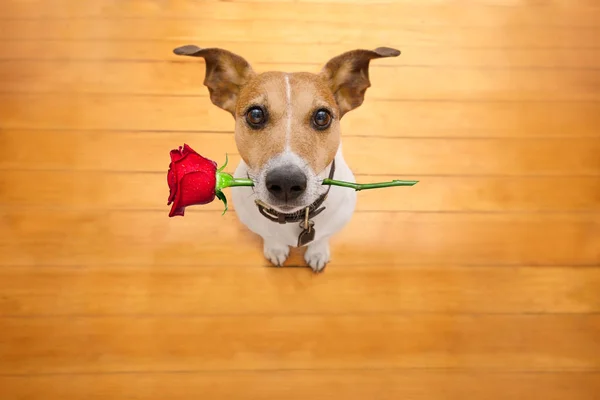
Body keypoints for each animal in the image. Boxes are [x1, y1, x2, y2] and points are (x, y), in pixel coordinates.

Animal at [173, 46, 398, 272]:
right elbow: (270, 237)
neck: (295, 218)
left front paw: (317, 252)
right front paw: (276, 249)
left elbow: (321, 238)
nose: (286, 182)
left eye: (322, 117)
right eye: (255, 114)